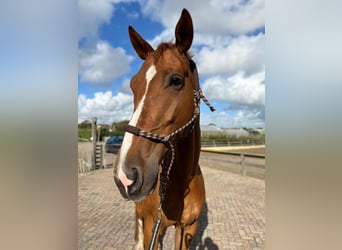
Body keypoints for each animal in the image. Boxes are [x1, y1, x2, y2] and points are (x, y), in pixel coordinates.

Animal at [113, 8, 214, 249]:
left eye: (176, 80)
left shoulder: (188, 228)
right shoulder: (153, 225)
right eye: (133, 85)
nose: (125, 174)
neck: (181, 182)